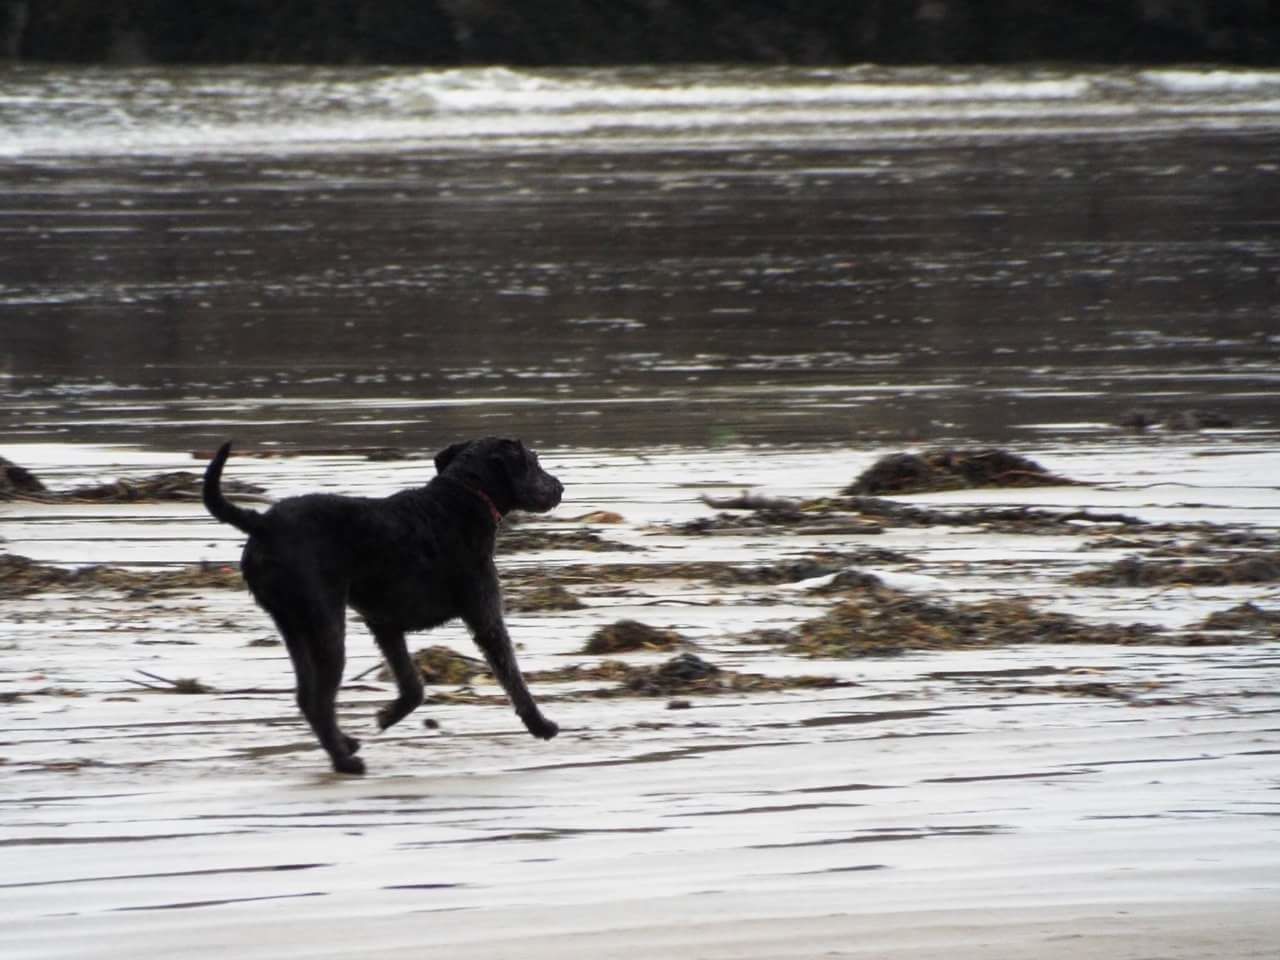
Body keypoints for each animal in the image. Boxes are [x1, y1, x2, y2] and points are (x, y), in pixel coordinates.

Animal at [202, 435, 563, 773]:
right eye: (534, 461)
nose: (560, 487)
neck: (461, 498)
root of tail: (261, 524)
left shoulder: (384, 624)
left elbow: (413, 685)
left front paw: (386, 716)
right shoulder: (485, 615)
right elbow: (513, 678)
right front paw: (541, 725)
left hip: (294, 625)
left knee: (306, 696)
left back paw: (345, 744)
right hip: (325, 625)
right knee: (318, 700)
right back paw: (345, 762)